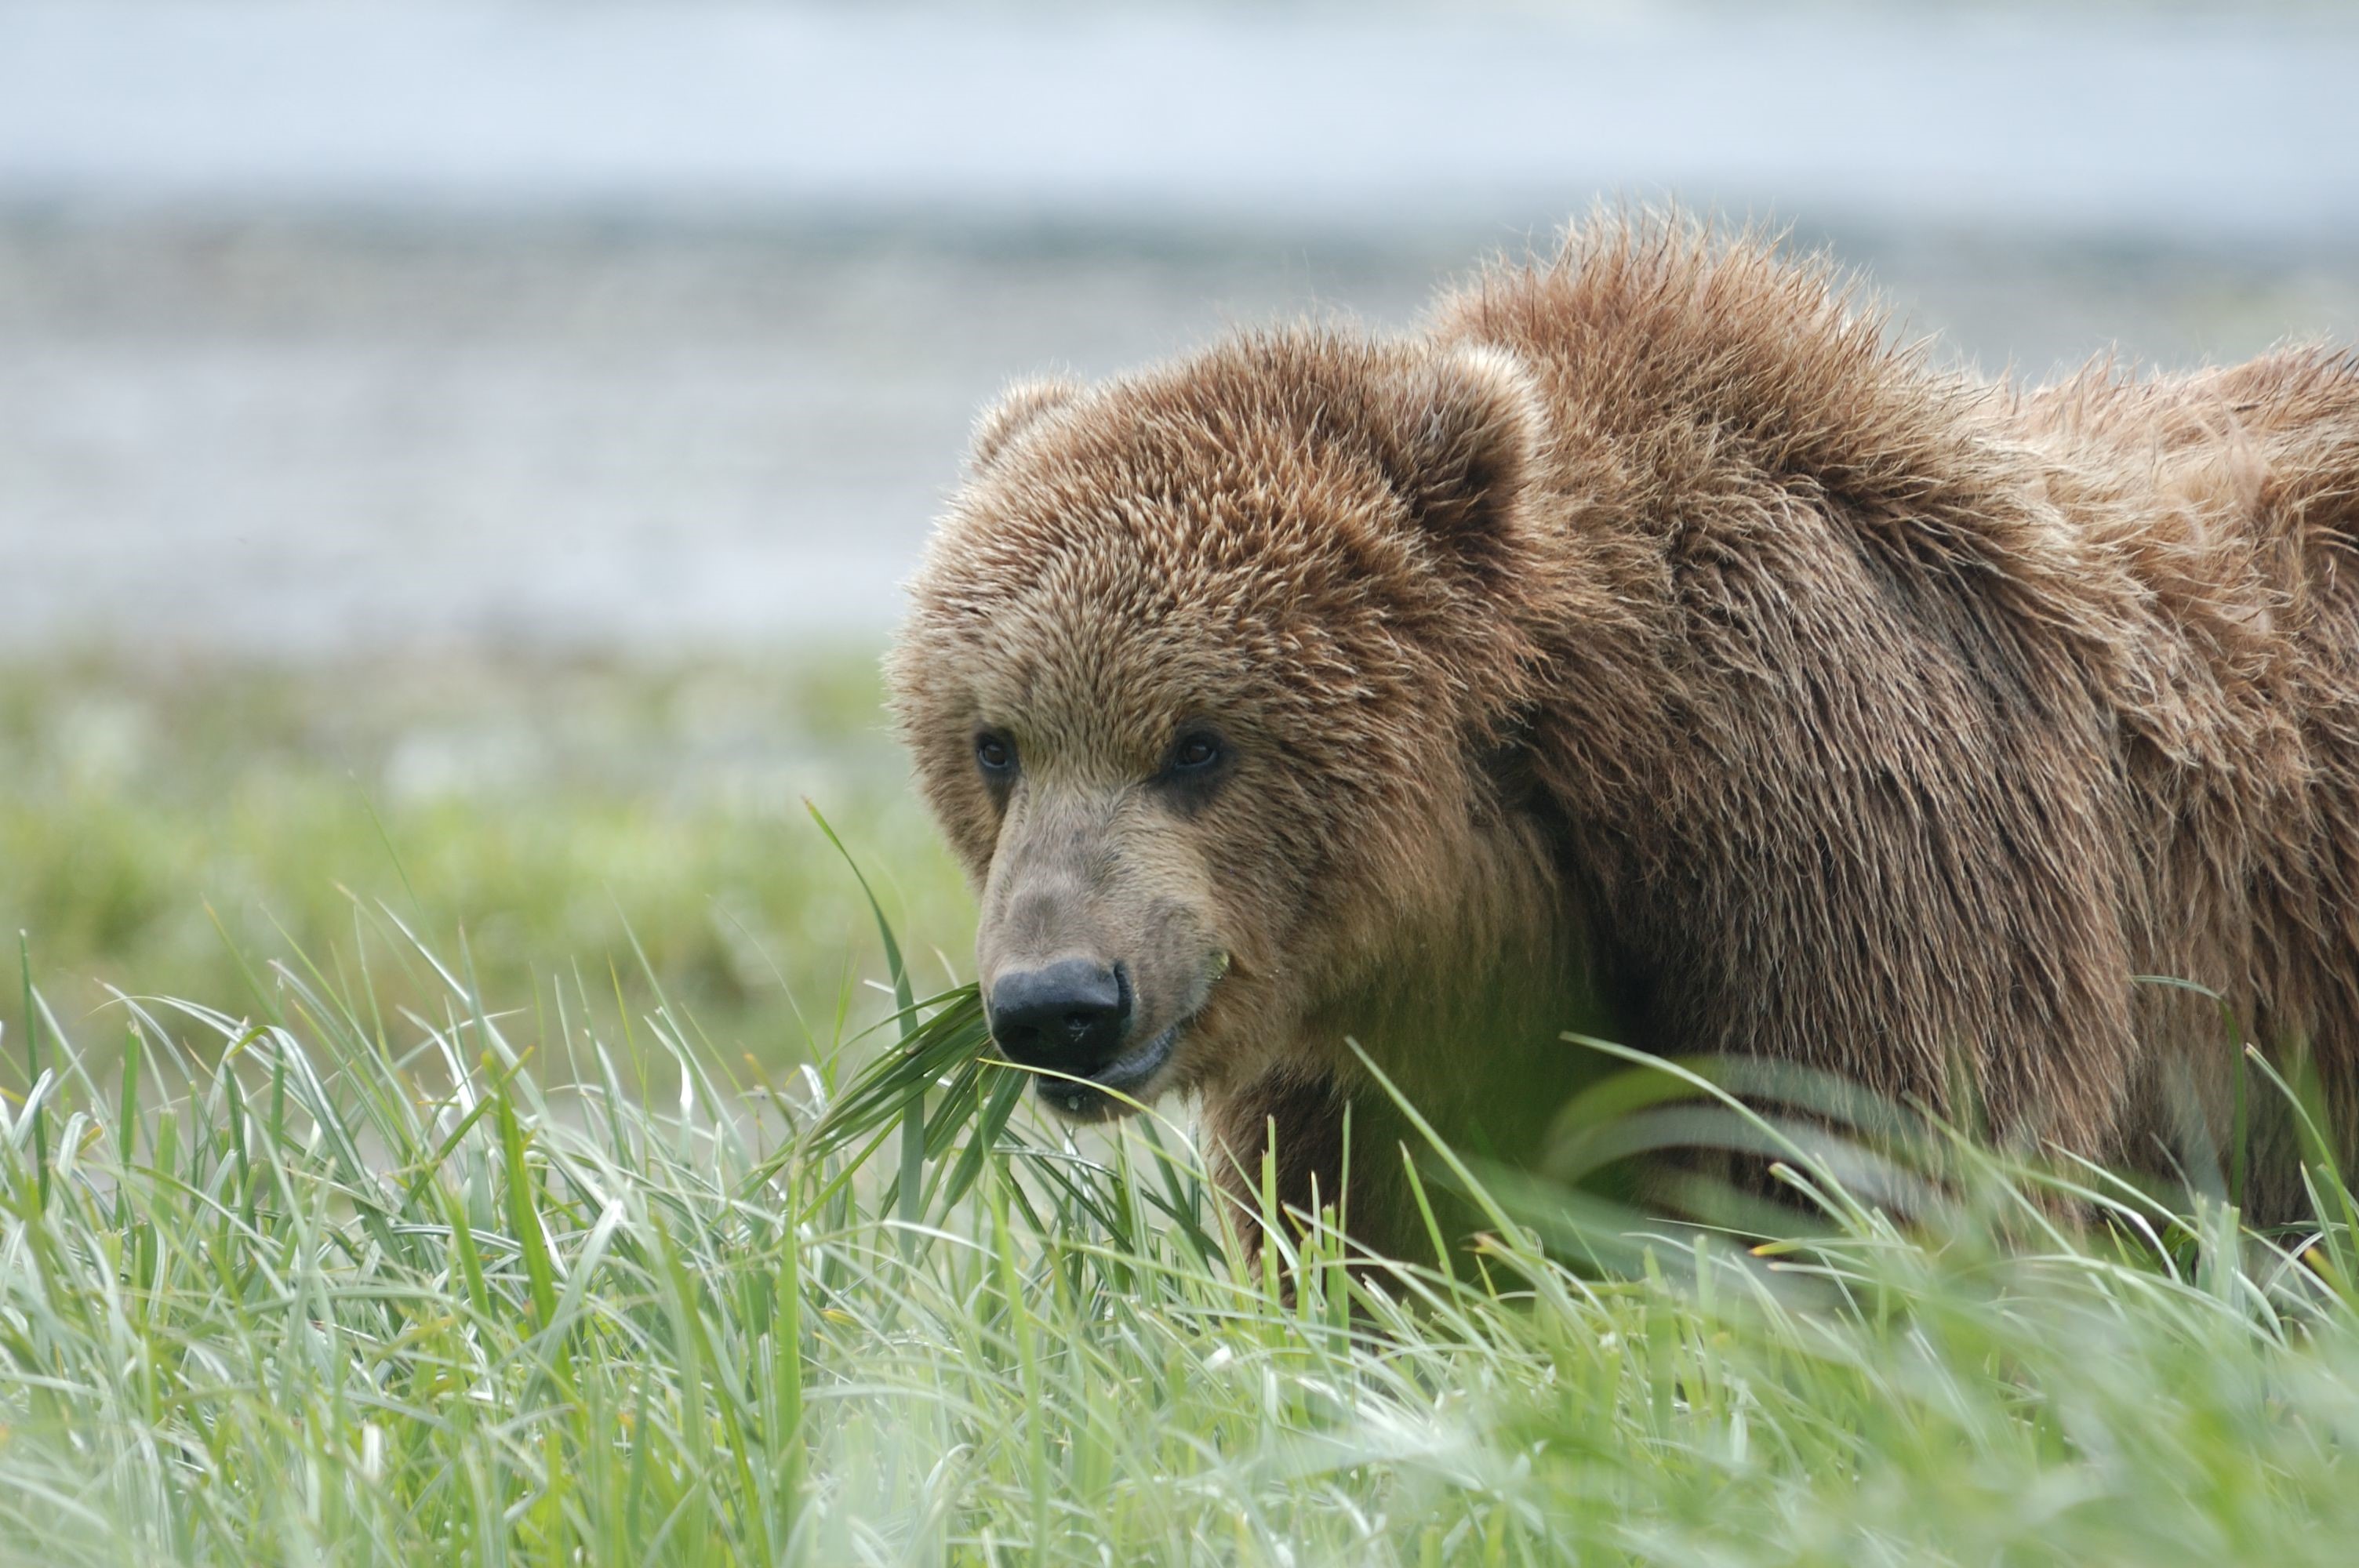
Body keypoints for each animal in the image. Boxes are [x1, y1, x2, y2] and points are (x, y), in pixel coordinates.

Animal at [887, 216, 2359, 1244]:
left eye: (1197, 742)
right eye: (995, 742)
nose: (1059, 1005)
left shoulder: (1866, 854)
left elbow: (1872, 1180)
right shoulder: (1379, 1058)